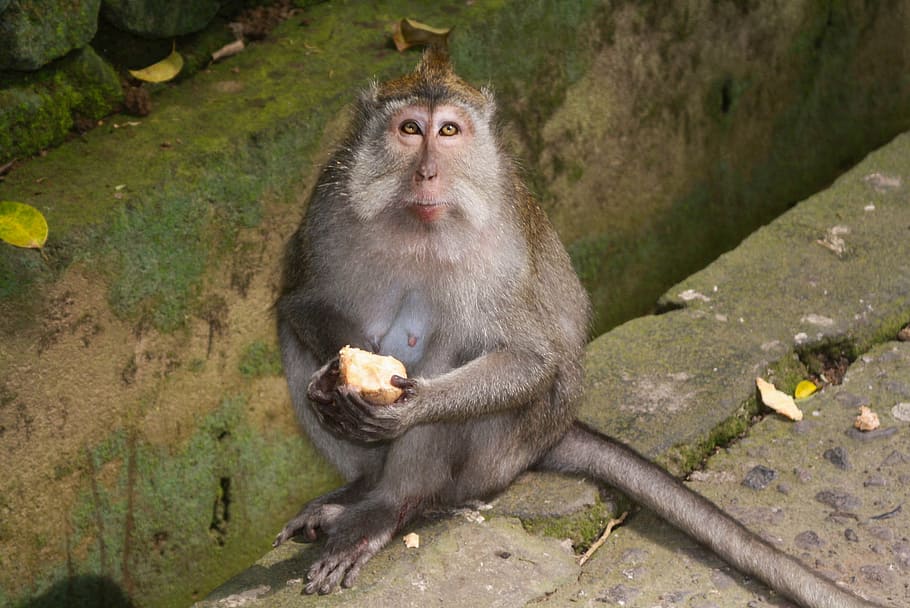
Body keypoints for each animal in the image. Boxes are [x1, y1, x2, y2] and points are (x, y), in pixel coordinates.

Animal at [272, 47, 882, 608]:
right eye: (408, 130)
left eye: (448, 131)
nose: (426, 172)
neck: (418, 226)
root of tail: (555, 432)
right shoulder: (328, 205)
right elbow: (300, 303)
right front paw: (335, 380)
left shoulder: (503, 246)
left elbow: (529, 357)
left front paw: (409, 406)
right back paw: (357, 488)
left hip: (500, 454)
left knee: (458, 348)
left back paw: (387, 505)